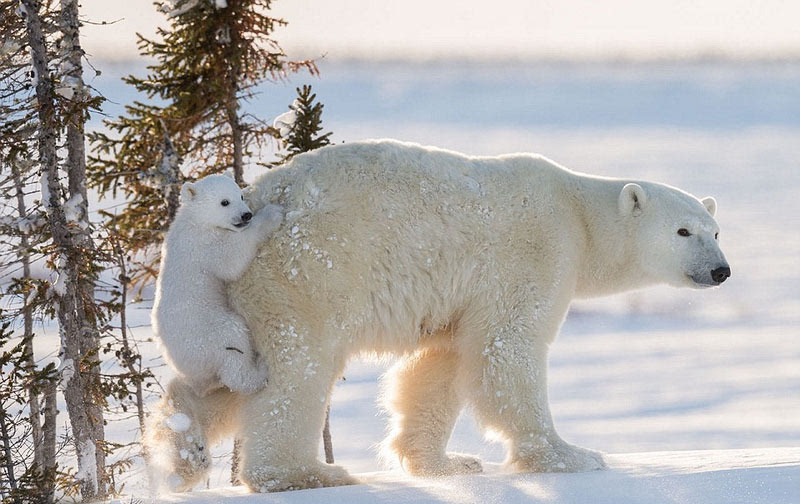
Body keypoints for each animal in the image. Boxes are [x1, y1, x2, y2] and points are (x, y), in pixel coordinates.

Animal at [175, 139, 732, 492]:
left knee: (228, 373)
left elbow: (439, 365)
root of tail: (254, 200)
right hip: (306, 274)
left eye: (715, 229)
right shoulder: (534, 251)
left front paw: (446, 463)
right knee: (295, 372)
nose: (721, 270)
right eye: (683, 231)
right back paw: (303, 473)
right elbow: (506, 350)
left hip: (237, 297)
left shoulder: (457, 298)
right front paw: (572, 456)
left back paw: (183, 442)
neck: (577, 212)